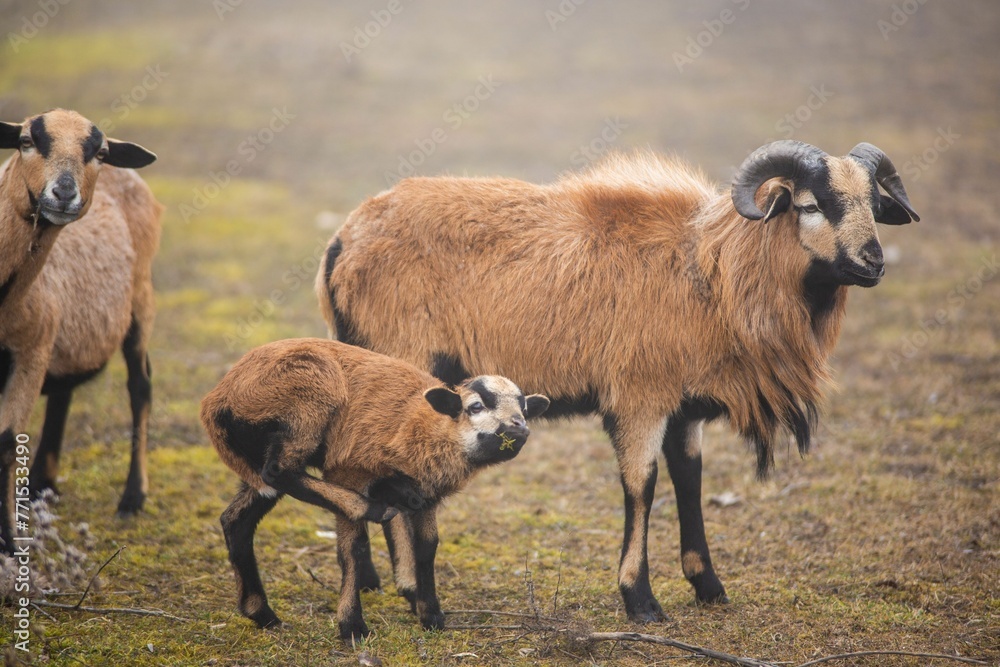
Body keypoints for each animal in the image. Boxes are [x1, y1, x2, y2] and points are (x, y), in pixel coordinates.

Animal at [0, 109, 160, 552]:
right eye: (25, 141)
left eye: (100, 153)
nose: (64, 193)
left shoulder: (31, 352)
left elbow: (6, 441)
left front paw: (8, 544)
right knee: (64, 392)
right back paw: (41, 483)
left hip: (140, 300)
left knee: (140, 387)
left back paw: (132, 497)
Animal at [200, 340, 552, 640]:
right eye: (475, 407)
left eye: (524, 408)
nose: (518, 428)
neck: (425, 427)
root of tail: (216, 400)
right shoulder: (347, 469)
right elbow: (353, 549)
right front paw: (352, 626)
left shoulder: (428, 495)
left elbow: (427, 546)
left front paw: (431, 617)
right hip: (306, 401)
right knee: (279, 471)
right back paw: (369, 507)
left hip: (254, 454)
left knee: (238, 519)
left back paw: (262, 614)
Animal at [316, 140, 916, 620]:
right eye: (811, 206)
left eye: (874, 205)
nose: (873, 262)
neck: (713, 271)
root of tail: (342, 240)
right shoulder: (638, 398)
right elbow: (642, 487)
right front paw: (640, 600)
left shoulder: (684, 406)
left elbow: (689, 480)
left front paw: (708, 586)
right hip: (407, 362)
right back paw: (410, 588)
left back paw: (372, 579)